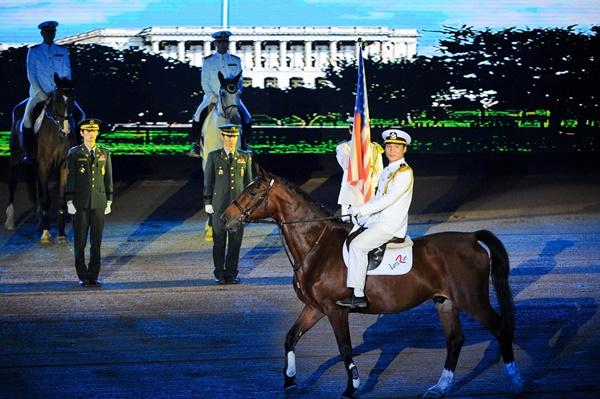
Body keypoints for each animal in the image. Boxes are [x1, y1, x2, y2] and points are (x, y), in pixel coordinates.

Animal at [4, 74, 79, 244]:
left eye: (72, 99)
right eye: (57, 98)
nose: (66, 131)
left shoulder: (63, 165)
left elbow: (60, 199)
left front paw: (61, 234)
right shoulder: (44, 165)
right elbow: (46, 199)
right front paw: (46, 234)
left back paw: (39, 221)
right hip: (15, 156)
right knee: (12, 183)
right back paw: (10, 221)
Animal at [221, 165, 524, 396]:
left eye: (253, 191)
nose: (225, 219)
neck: (316, 245)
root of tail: (470, 237)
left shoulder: (335, 310)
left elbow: (344, 348)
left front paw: (351, 387)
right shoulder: (315, 308)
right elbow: (290, 338)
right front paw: (290, 381)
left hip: (472, 299)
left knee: (500, 329)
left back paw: (515, 379)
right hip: (445, 301)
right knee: (455, 340)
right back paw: (440, 387)